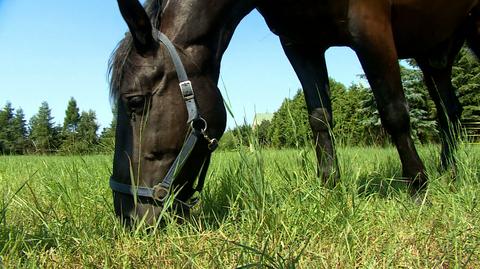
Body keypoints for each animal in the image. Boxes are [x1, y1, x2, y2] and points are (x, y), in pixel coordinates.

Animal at [109, 0, 480, 223]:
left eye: (134, 101)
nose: (126, 215)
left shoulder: (371, 27)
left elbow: (394, 112)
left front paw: (418, 190)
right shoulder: (300, 43)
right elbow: (319, 118)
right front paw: (329, 191)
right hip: (434, 48)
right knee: (449, 110)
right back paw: (451, 173)